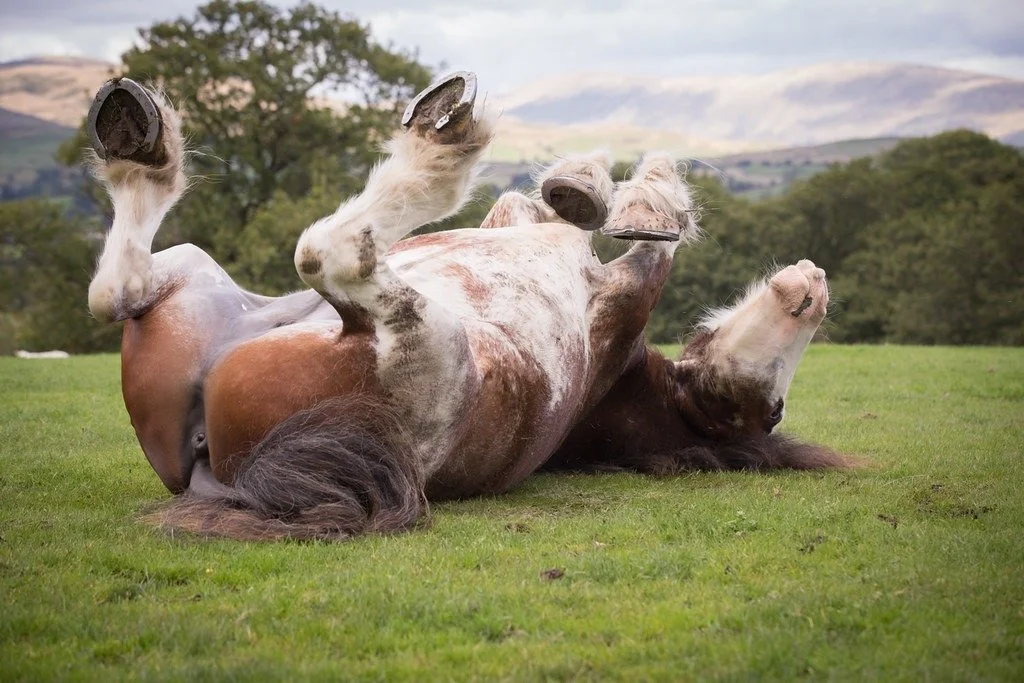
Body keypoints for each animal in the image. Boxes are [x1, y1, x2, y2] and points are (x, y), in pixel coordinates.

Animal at [83, 72, 847, 541]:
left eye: (771, 410)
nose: (814, 284)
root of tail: (215, 466)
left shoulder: (626, 296)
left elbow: (653, 228)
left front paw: (630, 189)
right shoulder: (528, 232)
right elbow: (541, 205)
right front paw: (584, 183)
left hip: (431, 340)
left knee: (329, 254)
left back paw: (436, 149)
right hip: (197, 275)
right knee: (116, 289)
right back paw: (138, 140)